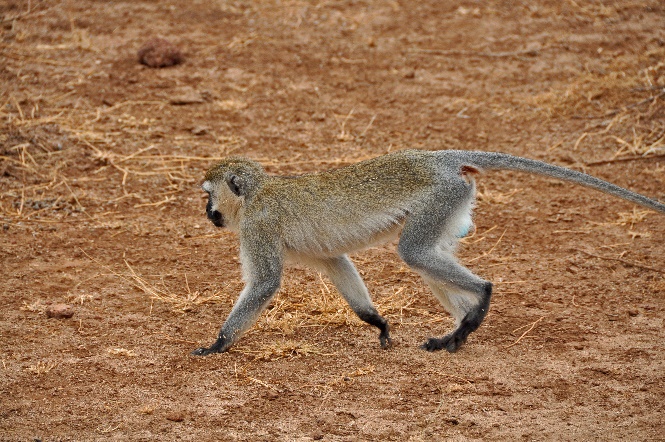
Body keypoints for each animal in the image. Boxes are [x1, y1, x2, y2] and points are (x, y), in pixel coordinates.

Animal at [189, 148, 660, 356]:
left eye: (208, 195)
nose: (208, 213)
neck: (256, 195)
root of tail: (442, 158)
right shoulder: (314, 250)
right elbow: (338, 264)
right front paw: (377, 322)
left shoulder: (258, 229)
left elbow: (265, 283)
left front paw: (217, 343)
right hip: (453, 204)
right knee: (426, 254)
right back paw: (460, 329)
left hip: (440, 197)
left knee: (415, 252)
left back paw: (480, 298)